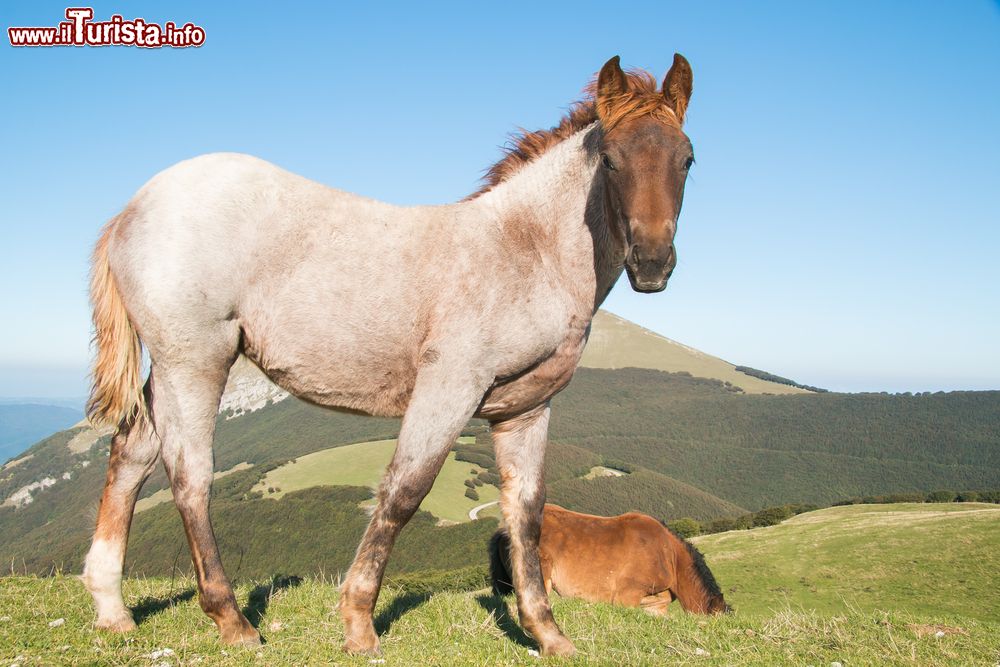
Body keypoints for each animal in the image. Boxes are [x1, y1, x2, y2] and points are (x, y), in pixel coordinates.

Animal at [82, 53, 696, 656]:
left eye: (687, 159)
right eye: (611, 161)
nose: (652, 264)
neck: (524, 251)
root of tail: (132, 209)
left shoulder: (525, 411)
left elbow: (526, 514)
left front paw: (547, 633)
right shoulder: (450, 386)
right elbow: (404, 492)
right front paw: (358, 623)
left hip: (174, 370)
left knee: (131, 454)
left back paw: (112, 610)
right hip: (195, 362)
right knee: (190, 475)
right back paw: (232, 621)